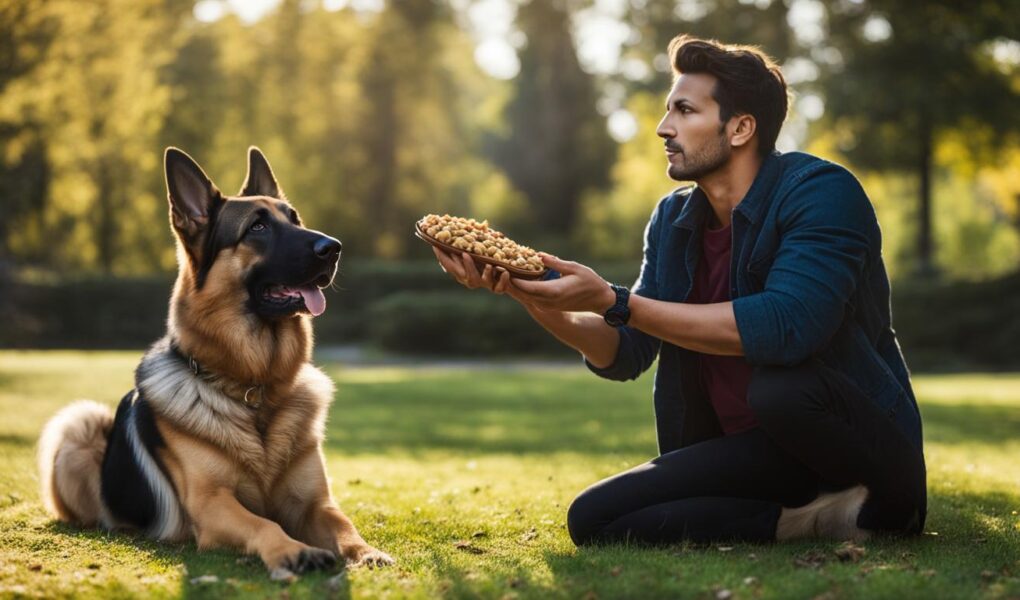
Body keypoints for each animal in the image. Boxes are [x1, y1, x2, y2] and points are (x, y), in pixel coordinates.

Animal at [36, 144, 393, 575]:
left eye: (295, 219)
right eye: (257, 228)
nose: (334, 248)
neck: (255, 389)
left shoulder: (313, 504)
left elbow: (342, 522)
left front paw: (366, 551)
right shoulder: (213, 504)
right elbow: (264, 524)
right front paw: (294, 550)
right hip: (79, 426)